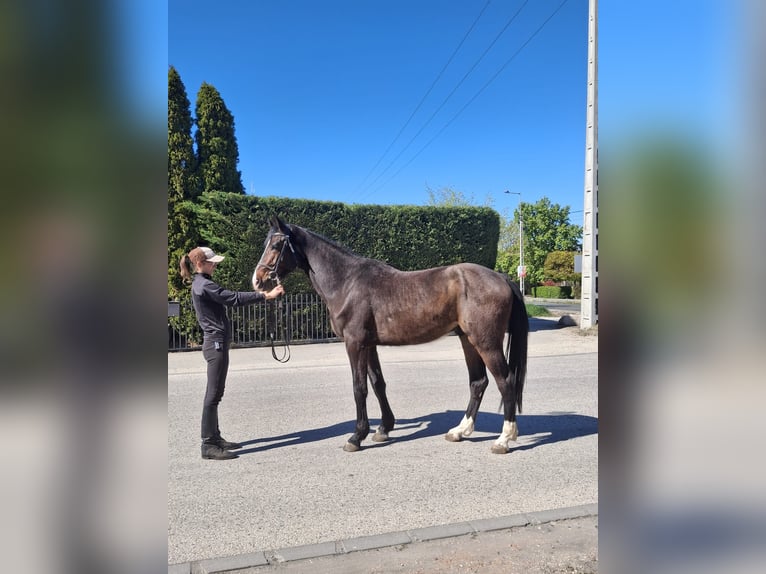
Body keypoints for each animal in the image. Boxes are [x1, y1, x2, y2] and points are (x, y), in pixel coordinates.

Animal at [252, 216, 529, 454]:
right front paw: (383, 428)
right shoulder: (369, 345)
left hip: (486, 342)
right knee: (478, 382)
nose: (258, 281)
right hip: (468, 340)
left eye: (276, 245)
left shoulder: (355, 344)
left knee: (506, 381)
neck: (348, 282)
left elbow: (359, 387)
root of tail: (502, 277)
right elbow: (378, 384)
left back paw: (503, 439)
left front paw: (356, 436)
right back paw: (460, 431)